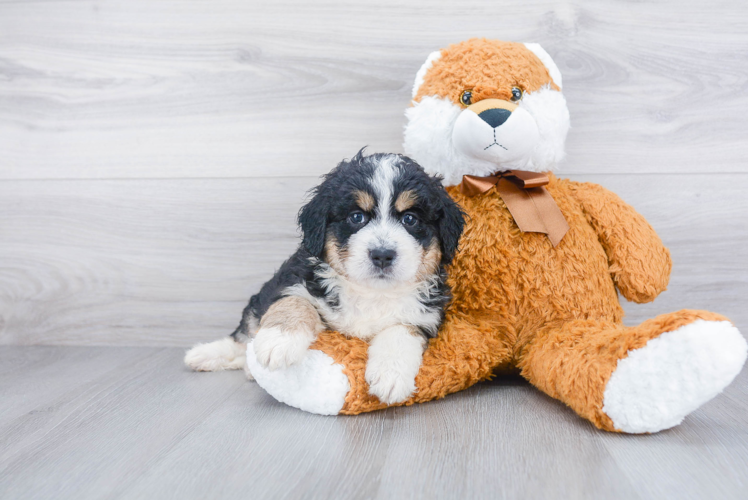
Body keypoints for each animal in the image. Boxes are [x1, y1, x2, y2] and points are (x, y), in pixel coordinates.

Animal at [185, 150, 464, 404]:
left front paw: (391, 375)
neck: (370, 292)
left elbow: (399, 331)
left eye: (410, 219)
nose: (382, 255)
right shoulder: (294, 280)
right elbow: (295, 302)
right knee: (242, 337)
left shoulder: (425, 315)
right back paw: (204, 355)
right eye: (356, 217)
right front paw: (278, 341)